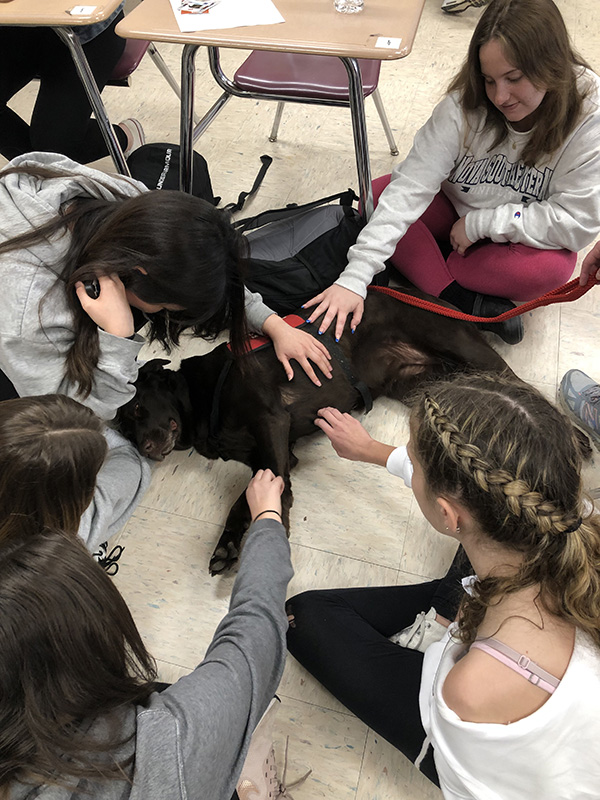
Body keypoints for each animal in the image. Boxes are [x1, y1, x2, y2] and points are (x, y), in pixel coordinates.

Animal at [117, 290, 510, 572]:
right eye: (124, 429)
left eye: (137, 408)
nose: (146, 447)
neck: (200, 394)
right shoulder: (268, 453)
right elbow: (248, 495)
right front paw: (228, 542)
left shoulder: (270, 421)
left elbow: (275, 486)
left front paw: (273, 533)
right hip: (423, 380)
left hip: (461, 347)